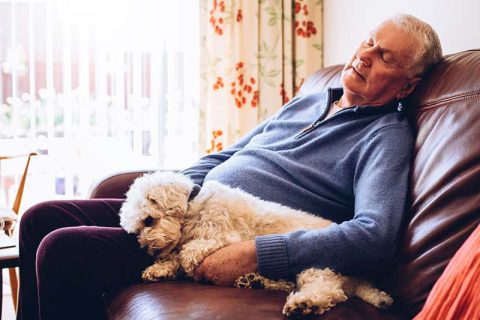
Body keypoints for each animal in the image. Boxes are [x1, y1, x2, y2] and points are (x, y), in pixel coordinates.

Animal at [118, 171, 392, 316]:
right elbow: (174, 254)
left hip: (317, 265)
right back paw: (257, 281)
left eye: (149, 220)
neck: (193, 206)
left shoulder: (225, 236)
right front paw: (158, 269)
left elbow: (189, 250)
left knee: (329, 290)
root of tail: (362, 279)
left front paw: (184, 260)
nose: (146, 248)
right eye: (136, 229)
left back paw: (304, 304)